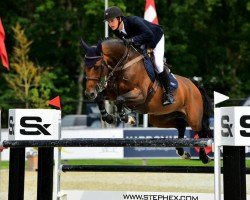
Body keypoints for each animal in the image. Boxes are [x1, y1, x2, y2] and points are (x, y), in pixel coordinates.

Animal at [81, 38, 213, 164]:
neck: (124, 65)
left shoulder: (140, 94)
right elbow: (100, 98)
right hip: (160, 118)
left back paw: (204, 157)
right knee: (181, 126)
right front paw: (109, 117)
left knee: (200, 132)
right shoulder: (112, 93)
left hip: (193, 117)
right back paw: (183, 153)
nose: (89, 93)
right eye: (85, 67)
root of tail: (193, 84)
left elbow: (119, 100)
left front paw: (128, 118)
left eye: (97, 66)